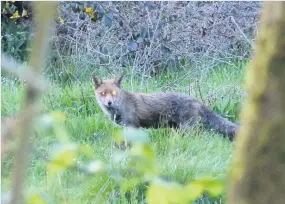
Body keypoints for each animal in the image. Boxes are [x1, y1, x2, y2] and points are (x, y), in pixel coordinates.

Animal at [92, 72, 239, 141]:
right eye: (103, 93)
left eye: (114, 93)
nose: (109, 102)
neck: (118, 108)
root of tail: (195, 100)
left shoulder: (132, 125)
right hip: (179, 128)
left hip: (188, 129)